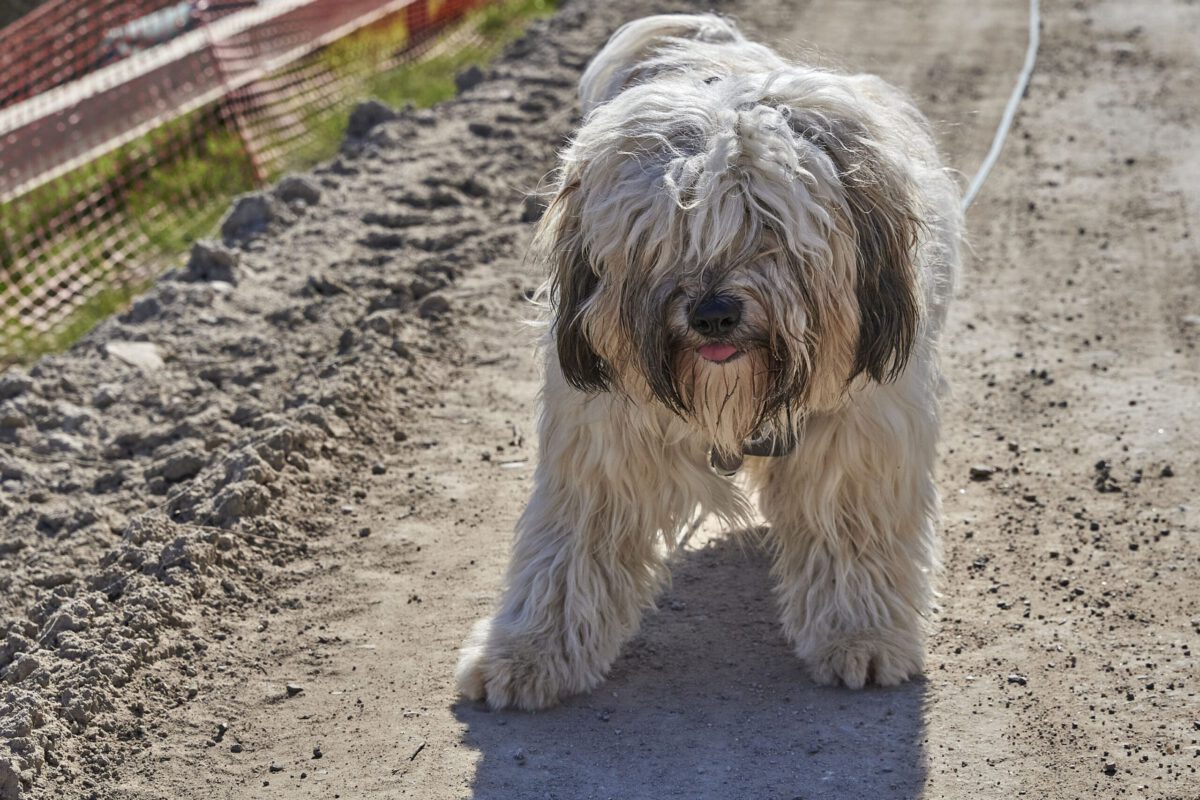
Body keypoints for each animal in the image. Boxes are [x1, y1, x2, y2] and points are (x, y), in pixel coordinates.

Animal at [453, 12, 960, 710]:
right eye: (661, 236)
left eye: (770, 226)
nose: (713, 314)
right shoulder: (602, 439)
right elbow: (569, 548)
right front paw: (528, 652)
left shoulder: (859, 433)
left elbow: (852, 528)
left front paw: (863, 634)